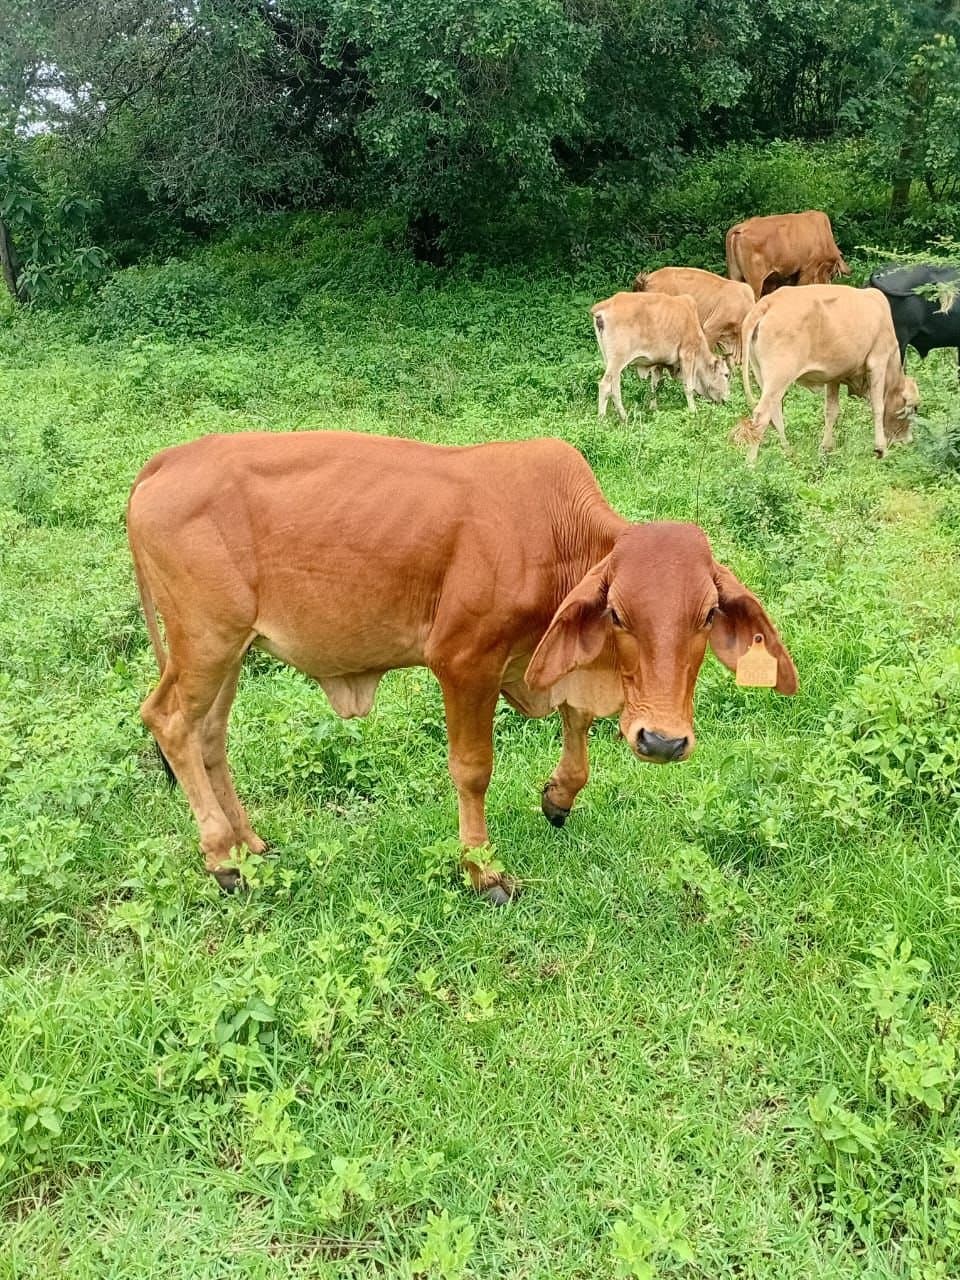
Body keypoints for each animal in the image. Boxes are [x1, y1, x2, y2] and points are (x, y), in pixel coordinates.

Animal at [127, 432, 797, 902]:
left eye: (706, 615)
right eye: (618, 614)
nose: (661, 740)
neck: (558, 535)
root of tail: (165, 461)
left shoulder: (545, 659)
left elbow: (576, 725)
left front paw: (558, 796)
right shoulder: (465, 662)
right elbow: (474, 770)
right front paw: (482, 870)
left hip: (231, 651)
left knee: (210, 736)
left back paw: (249, 846)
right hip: (206, 641)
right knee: (170, 722)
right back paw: (222, 859)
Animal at [591, 291, 730, 418]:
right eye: (726, 374)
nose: (728, 399)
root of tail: (604, 306)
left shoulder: (658, 362)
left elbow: (655, 385)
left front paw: (653, 408)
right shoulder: (687, 354)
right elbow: (688, 387)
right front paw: (693, 412)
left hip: (610, 361)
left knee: (614, 387)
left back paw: (623, 417)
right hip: (617, 359)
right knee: (605, 386)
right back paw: (603, 419)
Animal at [734, 286, 920, 464]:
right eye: (914, 408)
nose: (908, 441)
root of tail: (768, 302)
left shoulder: (834, 376)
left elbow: (831, 411)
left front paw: (826, 448)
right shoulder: (878, 361)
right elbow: (878, 407)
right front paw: (881, 449)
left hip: (762, 374)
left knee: (775, 413)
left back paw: (788, 454)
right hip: (779, 376)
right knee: (762, 415)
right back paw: (751, 464)